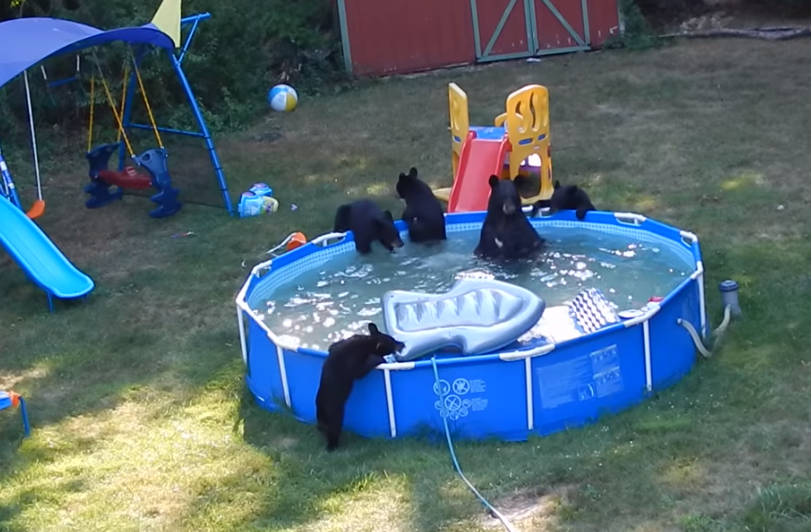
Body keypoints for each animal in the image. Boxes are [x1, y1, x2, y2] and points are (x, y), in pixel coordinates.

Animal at [318, 322, 406, 450]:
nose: (403, 344)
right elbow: (363, 367)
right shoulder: (354, 362)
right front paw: (381, 359)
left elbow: (333, 346)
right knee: (334, 429)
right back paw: (333, 446)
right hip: (335, 413)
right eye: (393, 341)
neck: (368, 342)